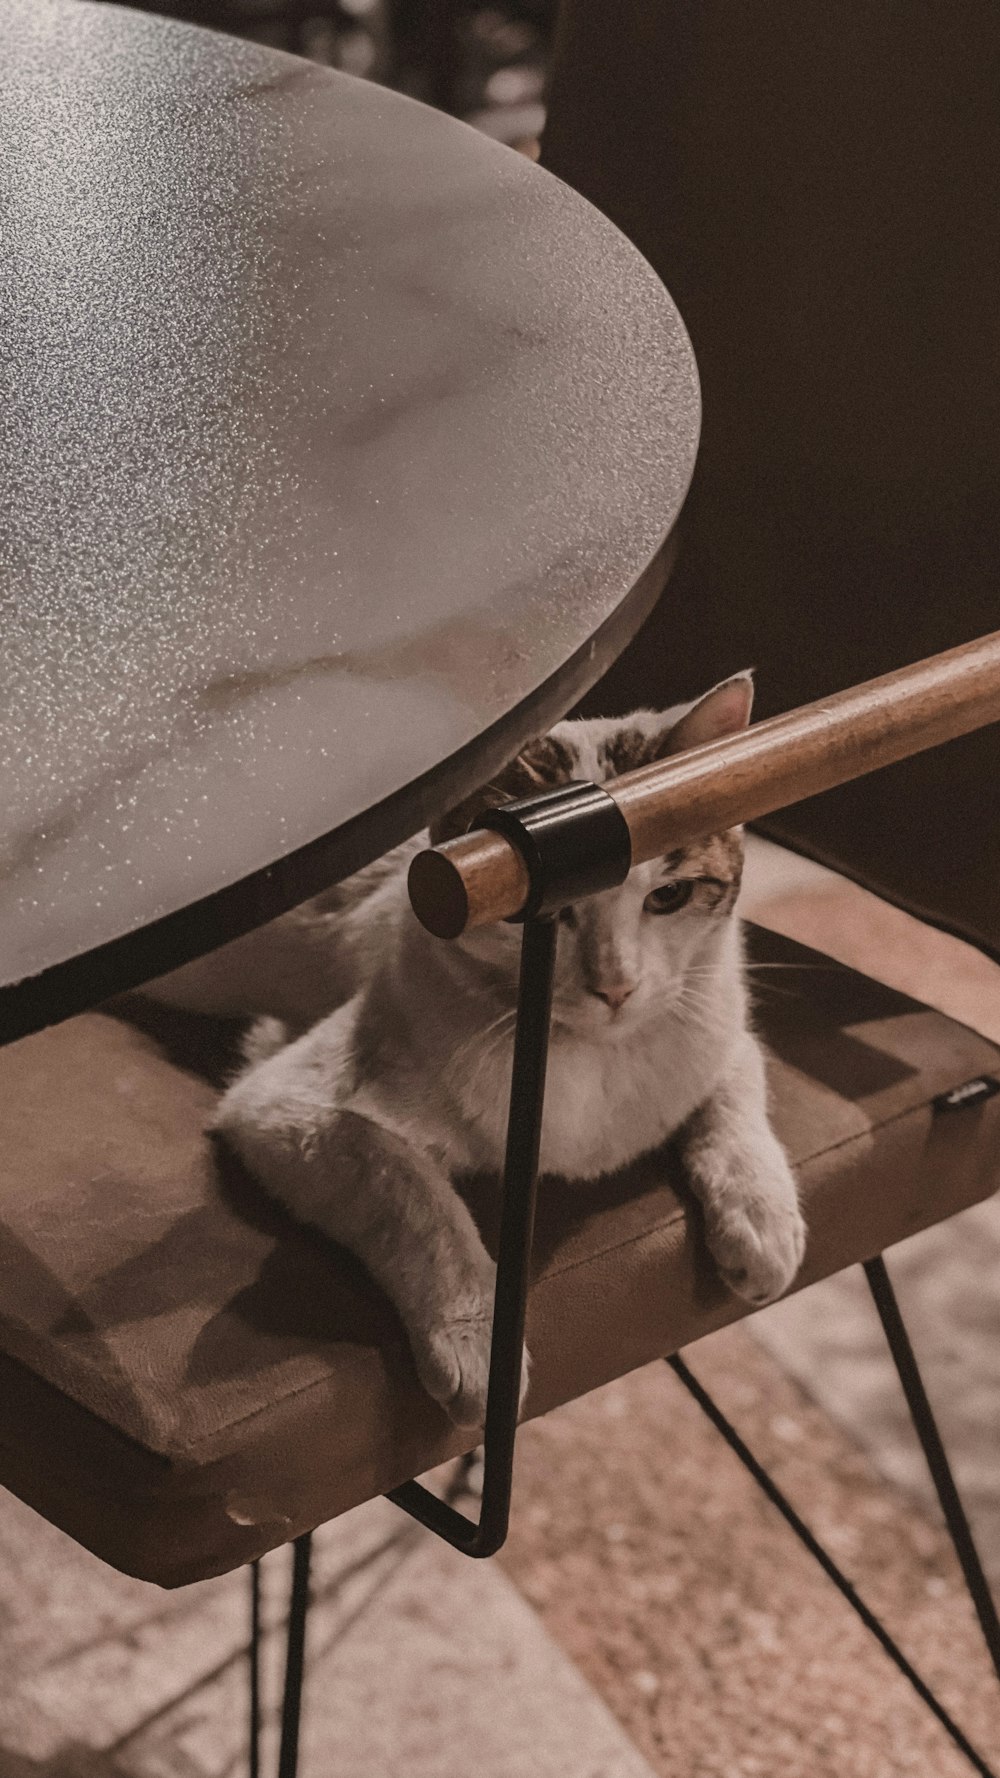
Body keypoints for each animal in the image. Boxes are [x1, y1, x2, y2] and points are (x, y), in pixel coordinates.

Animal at [208, 675, 800, 1429]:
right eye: (545, 914)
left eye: (668, 895)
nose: (616, 987)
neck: (596, 1062)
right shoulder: (284, 1103)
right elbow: (411, 1190)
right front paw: (476, 1338)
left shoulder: (716, 1019)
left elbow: (738, 1087)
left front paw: (761, 1218)